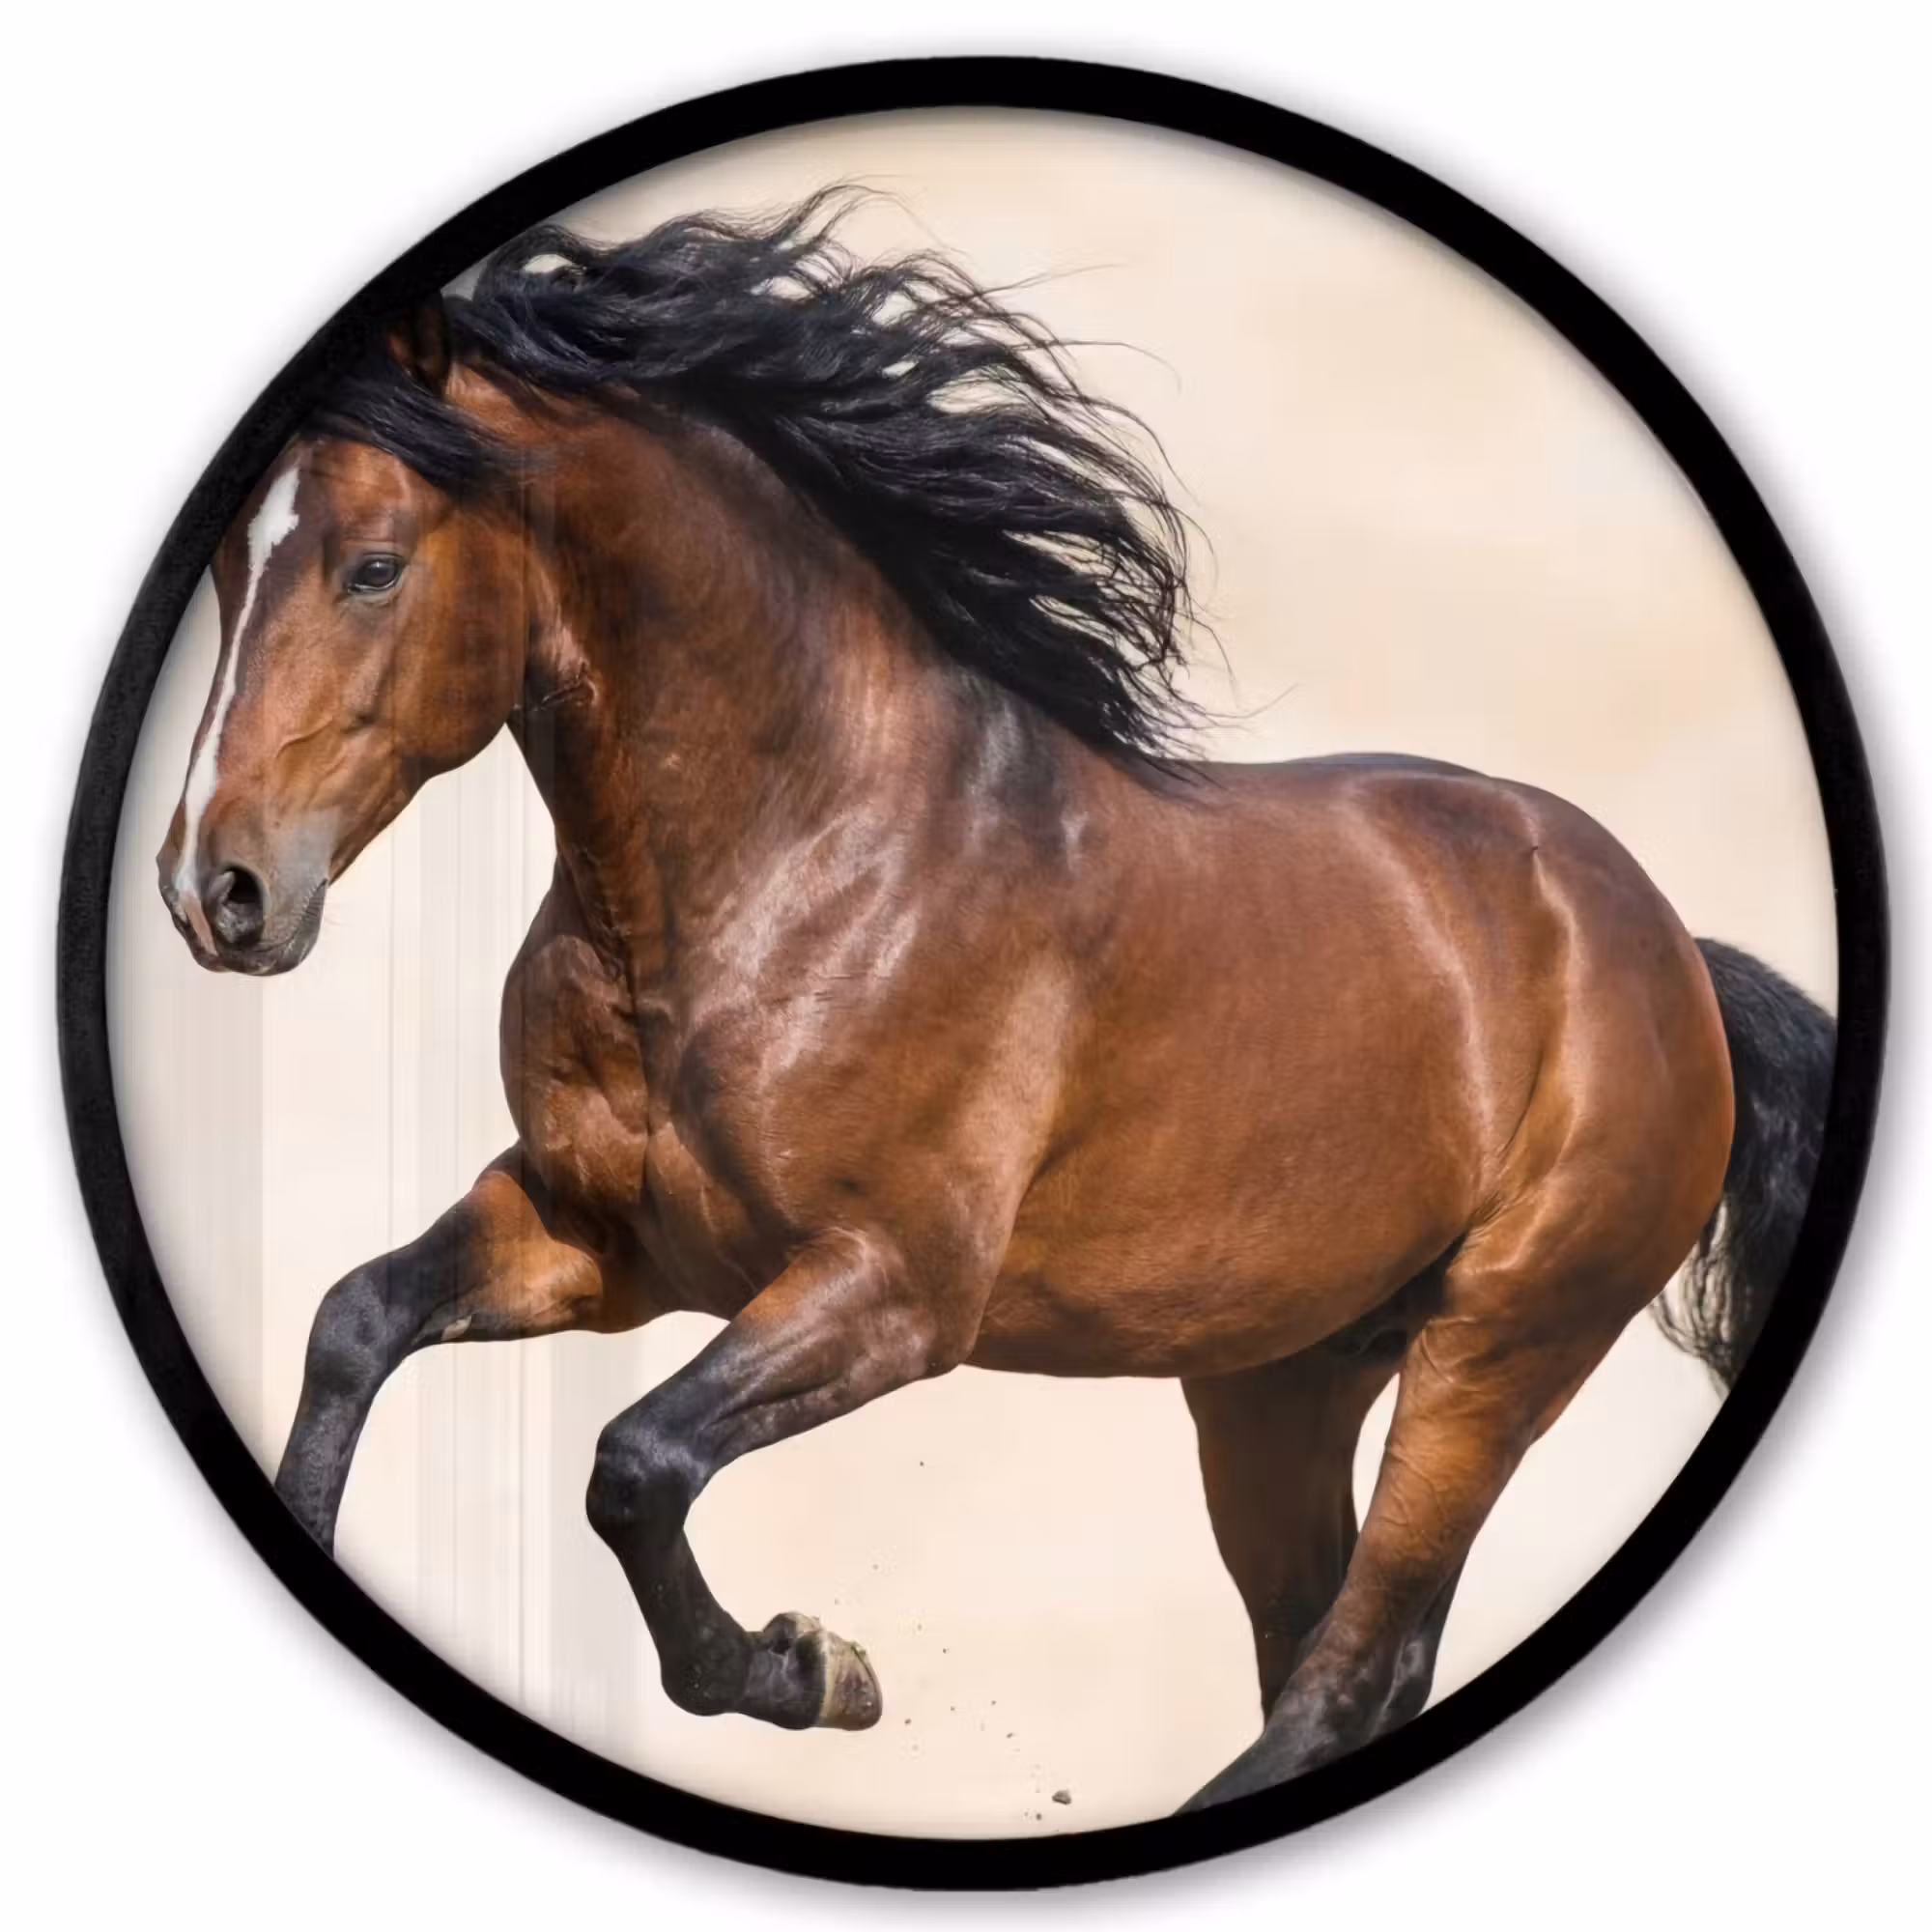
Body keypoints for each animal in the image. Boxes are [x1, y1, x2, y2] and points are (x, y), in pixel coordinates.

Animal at [155, 192, 1834, 1810]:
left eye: (375, 564)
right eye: (231, 566)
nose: (213, 890)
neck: (796, 862)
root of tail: (1669, 950)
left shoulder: (895, 1289)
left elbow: (636, 1462)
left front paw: (814, 1671)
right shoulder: (599, 1236)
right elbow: (355, 1324)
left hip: (1500, 1347)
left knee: (1352, 1668)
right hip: (1278, 1380)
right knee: (1337, 1657)